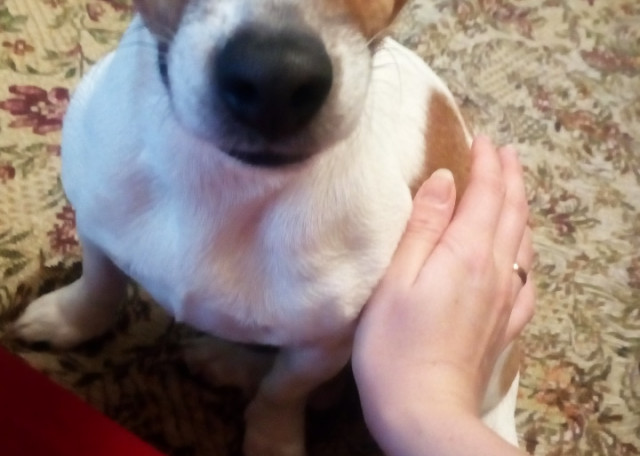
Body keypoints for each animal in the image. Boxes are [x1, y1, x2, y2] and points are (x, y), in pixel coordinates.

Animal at [12, 0, 521, 454]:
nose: (275, 77)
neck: (225, 182)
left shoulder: (326, 342)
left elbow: (283, 391)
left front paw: (272, 439)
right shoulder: (97, 225)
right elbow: (99, 286)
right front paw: (71, 320)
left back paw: (227, 363)